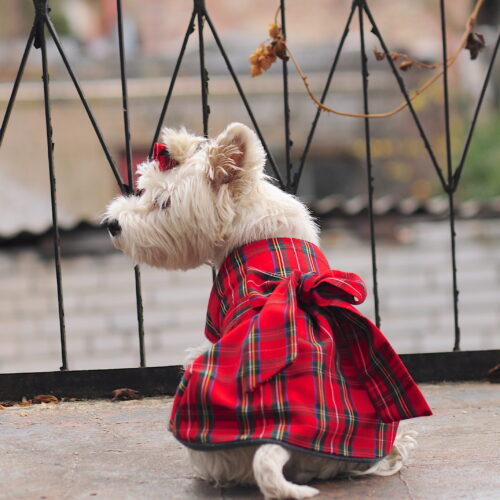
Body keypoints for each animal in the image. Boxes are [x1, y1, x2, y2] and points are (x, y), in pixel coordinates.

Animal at [104, 122, 430, 500]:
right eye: (144, 190)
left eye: (163, 202)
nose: (112, 224)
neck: (253, 228)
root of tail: (279, 439)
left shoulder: (215, 319)